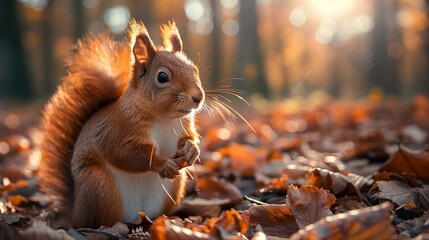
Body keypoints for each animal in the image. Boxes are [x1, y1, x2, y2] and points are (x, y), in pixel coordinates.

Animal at [37, 19, 203, 228]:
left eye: (194, 69)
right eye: (162, 77)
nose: (198, 97)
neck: (165, 119)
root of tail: (75, 212)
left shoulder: (184, 125)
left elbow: (189, 138)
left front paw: (191, 150)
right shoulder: (116, 131)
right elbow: (124, 153)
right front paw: (162, 163)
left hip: (173, 187)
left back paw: (166, 219)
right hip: (99, 186)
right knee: (100, 220)